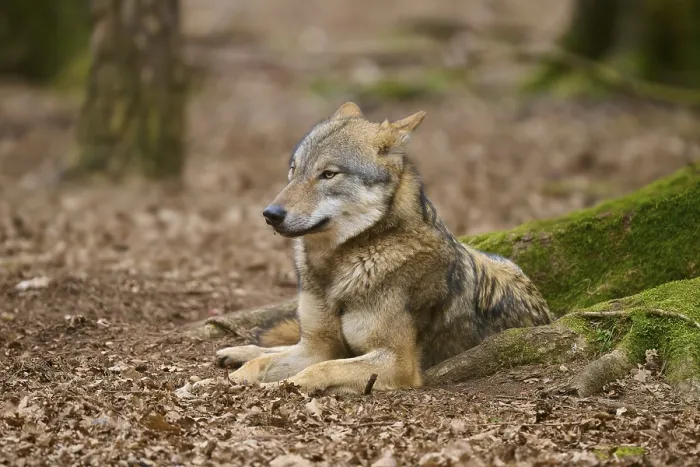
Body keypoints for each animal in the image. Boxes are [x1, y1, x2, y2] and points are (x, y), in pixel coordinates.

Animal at [216, 102, 552, 394]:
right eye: (294, 170)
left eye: (328, 174)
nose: (270, 214)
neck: (341, 265)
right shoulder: (317, 346)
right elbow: (262, 365)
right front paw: (222, 382)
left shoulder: (396, 362)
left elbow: (320, 369)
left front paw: (281, 387)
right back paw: (237, 351)